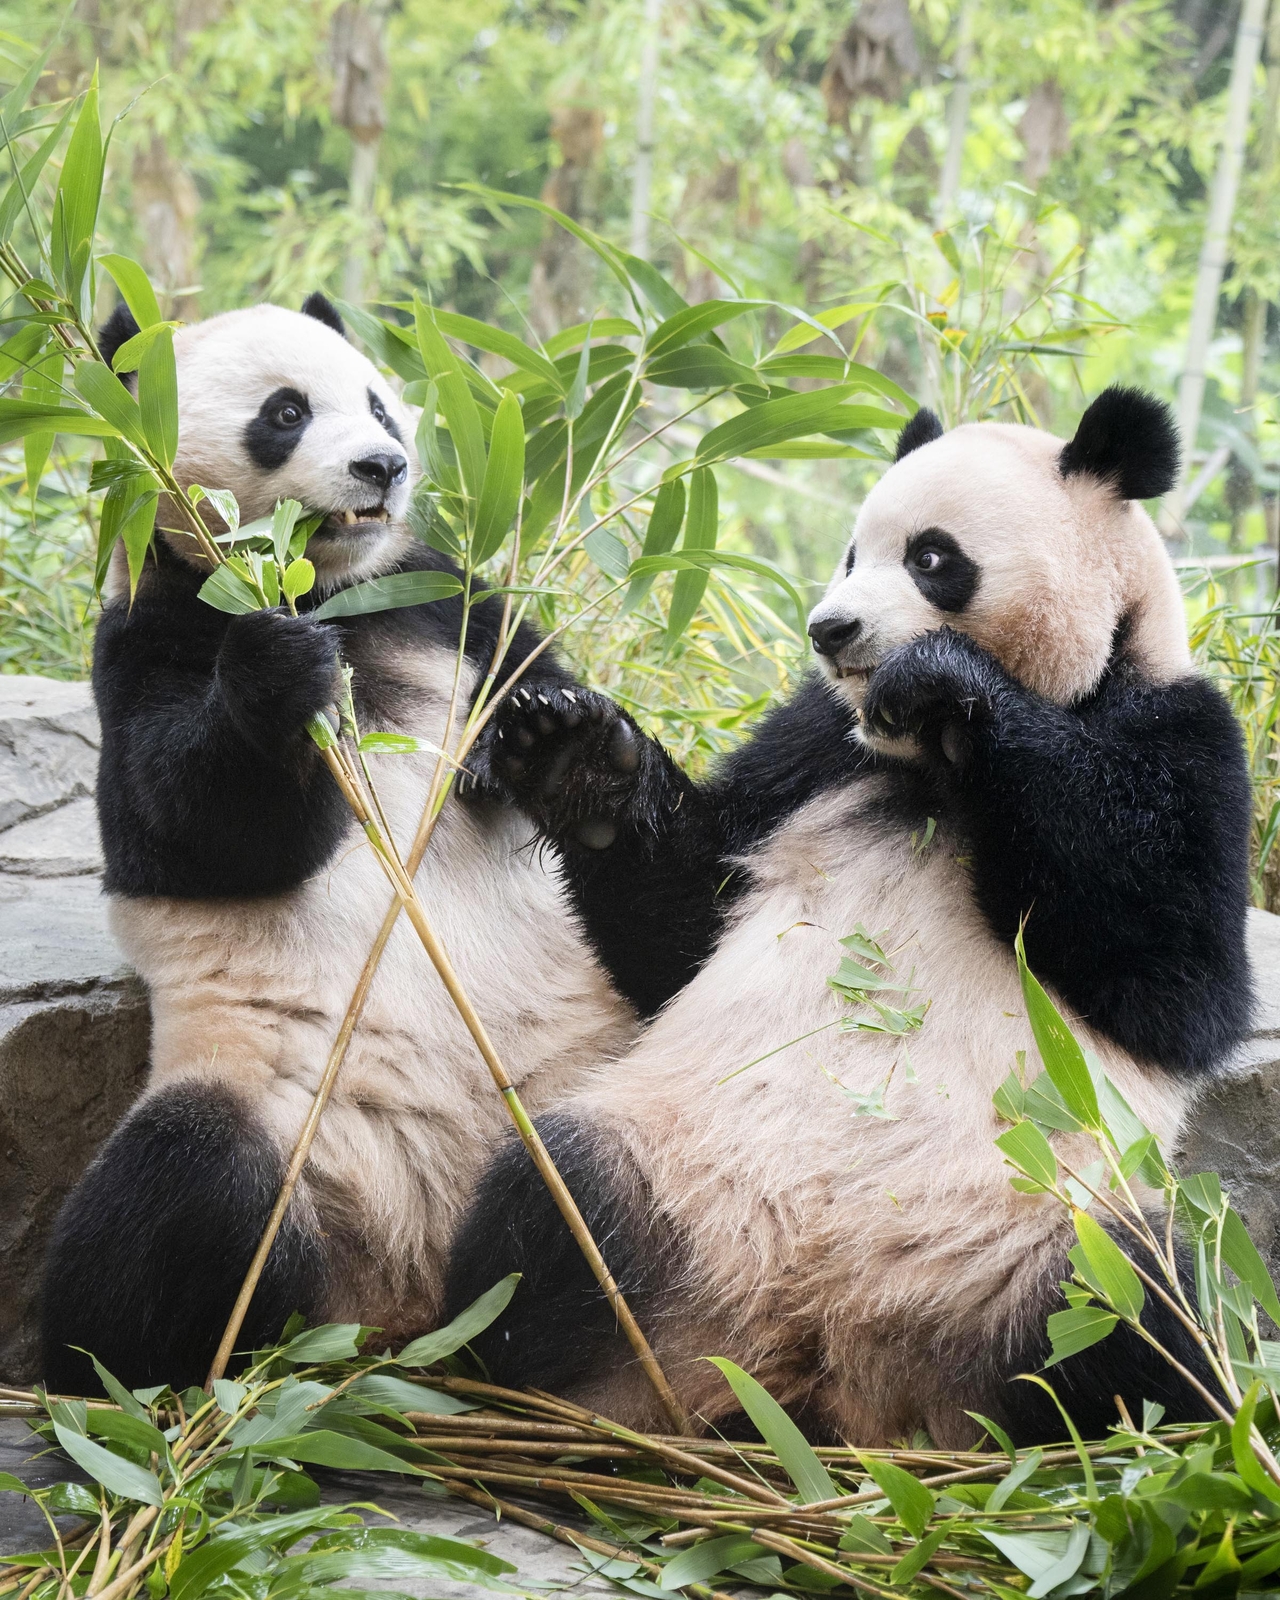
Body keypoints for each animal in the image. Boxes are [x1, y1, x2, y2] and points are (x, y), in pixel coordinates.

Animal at [39, 293, 637, 1396]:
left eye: (378, 403)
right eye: (284, 413)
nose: (382, 466)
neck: (329, 589)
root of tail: (406, 1305)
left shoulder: (442, 598)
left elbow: (527, 666)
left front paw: (556, 738)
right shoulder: (153, 623)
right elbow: (182, 825)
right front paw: (282, 673)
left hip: (597, 1073)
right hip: (276, 1123)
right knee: (175, 1187)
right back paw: (114, 1384)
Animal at [442, 388, 1254, 1446]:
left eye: (933, 557)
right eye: (848, 556)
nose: (830, 629)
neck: (926, 762)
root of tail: (825, 1357)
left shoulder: (1181, 734)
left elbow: (1176, 982)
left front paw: (949, 680)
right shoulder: (817, 743)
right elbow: (685, 928)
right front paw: (571, 753)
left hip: (1031, 1241)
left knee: (1139, 1304)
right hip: (672, 1180)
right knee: (549, 1206)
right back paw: (520, 1389)